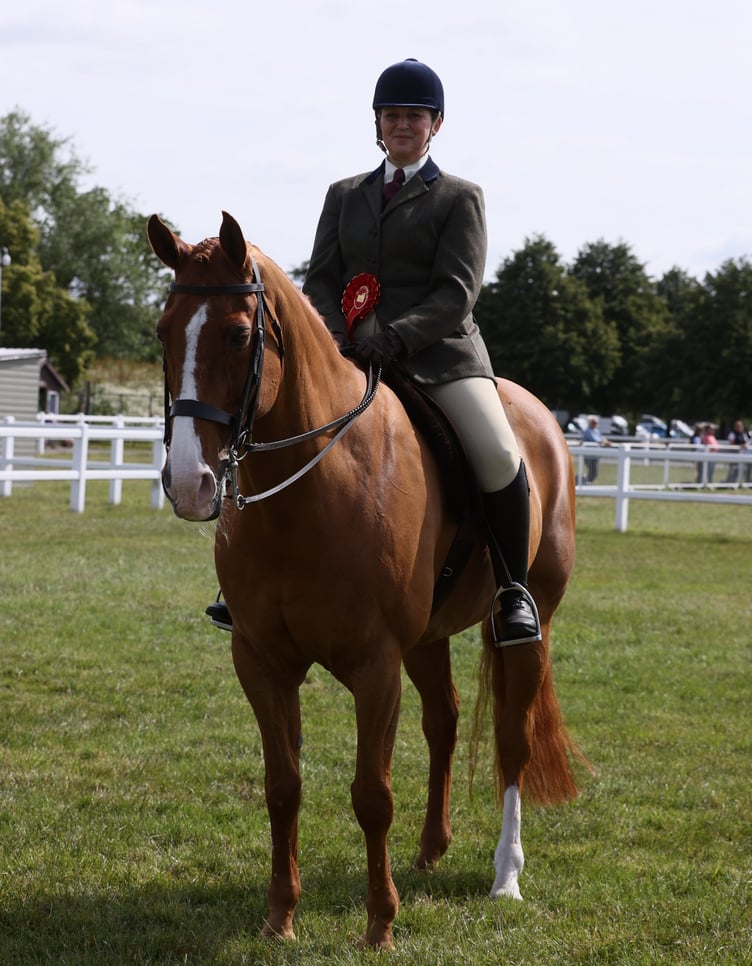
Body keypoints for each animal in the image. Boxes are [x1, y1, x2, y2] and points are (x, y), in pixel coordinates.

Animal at [147, 210, 582, 949]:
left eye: (237, 334)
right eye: (163, 332)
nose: (188, 484)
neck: (311, 493)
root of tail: (541, 420)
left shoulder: (375, 665)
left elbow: (371, 795)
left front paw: (380, 924)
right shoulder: (260, 661)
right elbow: (283, 786)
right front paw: (280, 917)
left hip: (531, 624)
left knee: (511, 740)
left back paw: (505, 877)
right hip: (427, 638)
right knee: (445, 721)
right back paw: (432, 849)